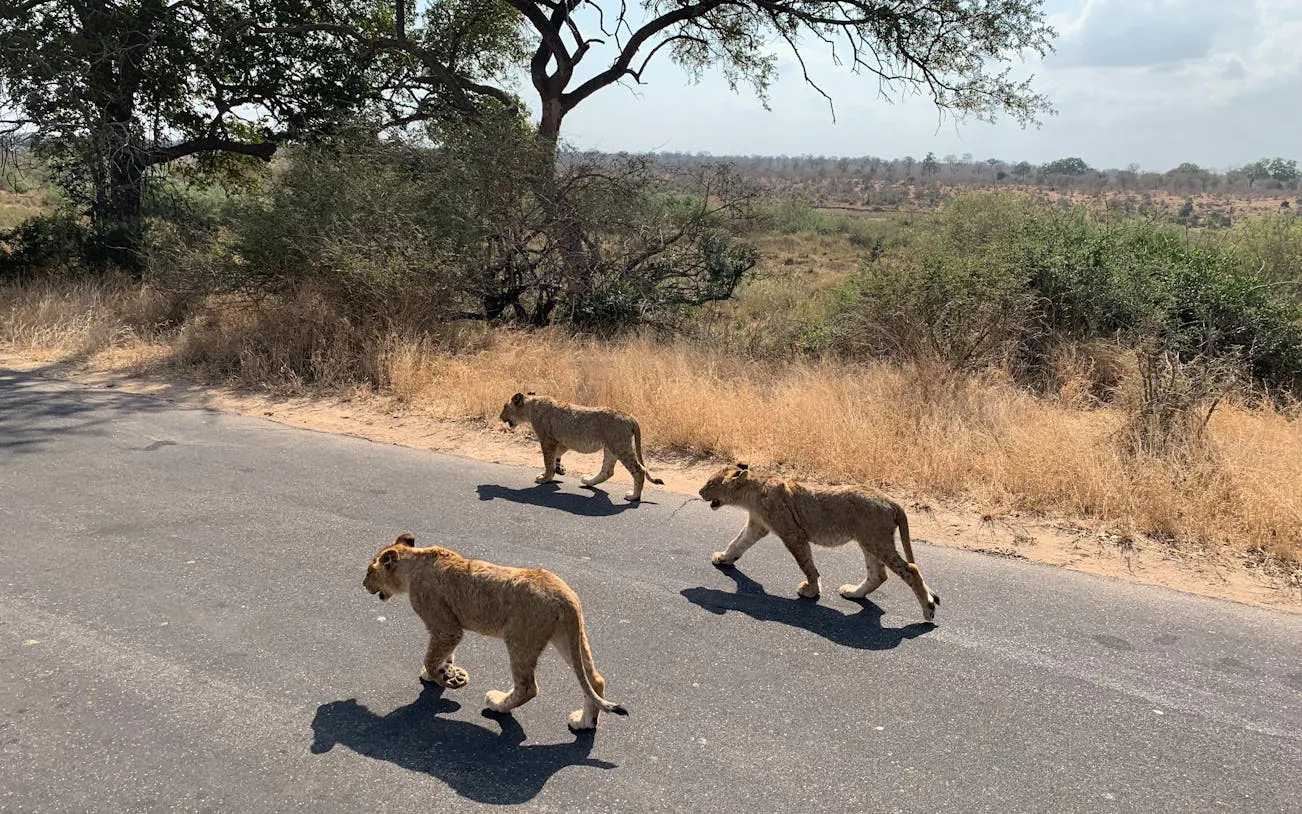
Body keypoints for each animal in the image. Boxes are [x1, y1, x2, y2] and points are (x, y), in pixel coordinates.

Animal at [363, 533, 629, 731]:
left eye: (369, 571)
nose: (363, 584)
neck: (414, 565)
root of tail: (564, 595)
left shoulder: (446, 627)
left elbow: (431, 656)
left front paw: (445, 678)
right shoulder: (449, 631)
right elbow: (443, 654)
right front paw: (444, 672)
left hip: (520, 638)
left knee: (527, 687)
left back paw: (497, 703)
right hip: (567, 637)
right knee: (595, 679)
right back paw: (584, 723)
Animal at [498, 392, 664, 502]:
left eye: (505, 406)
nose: (500, 417)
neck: (531, 406)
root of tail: (630, 416)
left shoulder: (548, 440)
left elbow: (547, 461)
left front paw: (545, 478)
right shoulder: (562, 441)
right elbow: (556, 456)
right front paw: (559, 469)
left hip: (620, 446)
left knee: (639, 470)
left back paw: (634, 496)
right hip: (610, 447)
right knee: (607, 471)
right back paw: (588, 481)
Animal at [698, 464, 940, 622]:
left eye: (710, 483)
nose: (700, 492)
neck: (751, 490)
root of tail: (891, 501)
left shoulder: (793, 534)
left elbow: (806, 564)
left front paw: (811, 590)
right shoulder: (757, 525)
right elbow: (737, 543)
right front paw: (723, 558)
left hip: (877, 541)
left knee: (910, 569)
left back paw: (928, 610)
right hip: (869, 541)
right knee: (879, 574)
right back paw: (854, 593)